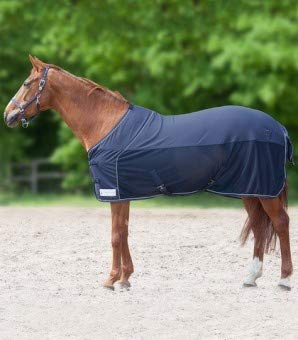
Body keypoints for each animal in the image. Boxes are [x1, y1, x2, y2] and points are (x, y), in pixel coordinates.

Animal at [2, 55, 294, 290]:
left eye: (27, 84)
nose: (8, 115)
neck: (106, 125)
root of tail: (278, 128)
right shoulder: (123, 193)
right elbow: (124, 232)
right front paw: (125, 278)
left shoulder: (113, 191)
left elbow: (115, 235)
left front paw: (111, 280)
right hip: (250, 188)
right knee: (258, 226)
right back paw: (251, 277)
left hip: (263, 191)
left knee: (280, 223)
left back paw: (285, 279)